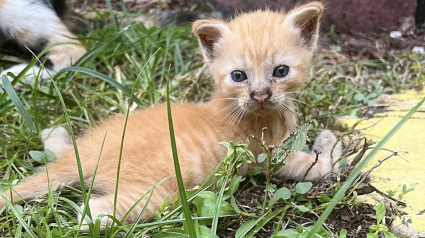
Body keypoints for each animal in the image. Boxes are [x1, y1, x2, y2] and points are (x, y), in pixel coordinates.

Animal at [0, 2, 342, 229]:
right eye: (239, 76)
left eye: (280, 72)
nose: (260, 95)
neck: (232, 107)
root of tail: (83, 155)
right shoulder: (269, 156)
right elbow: (319, 166)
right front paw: (332, 143)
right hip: (160, 194)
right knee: (94, 210)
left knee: (55, 146)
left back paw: (56, 137)